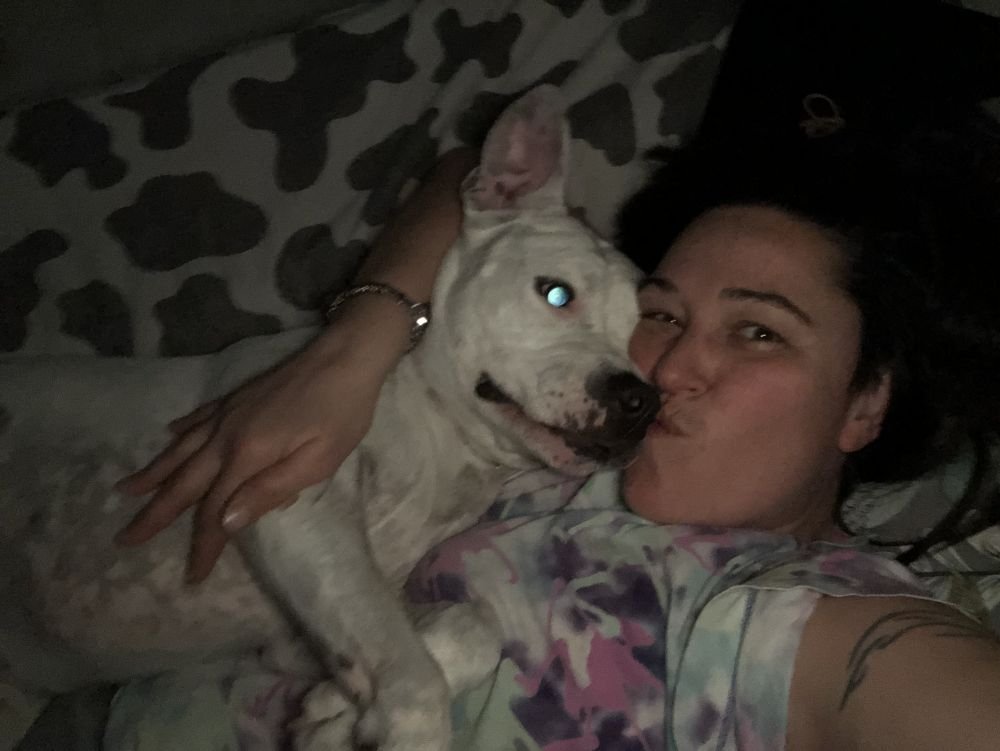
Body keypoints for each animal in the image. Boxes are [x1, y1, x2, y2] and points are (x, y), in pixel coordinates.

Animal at [0, 86, 657, 750]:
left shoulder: (302, 632)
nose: (641, 401)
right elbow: (417, 683)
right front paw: (402, 729)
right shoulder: (286, 498)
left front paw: (335, 714)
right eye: (556, 294)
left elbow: (470, 624)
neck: (447, 444)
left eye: (646, 335)